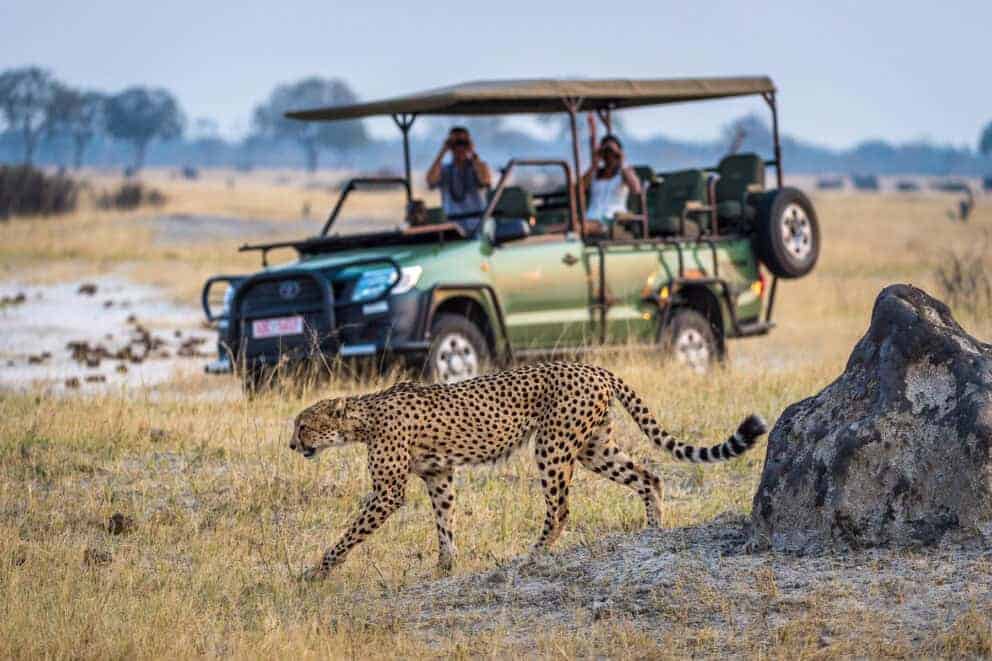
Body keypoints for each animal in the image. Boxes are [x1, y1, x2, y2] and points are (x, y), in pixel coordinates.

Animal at [289, 361, 768, 579]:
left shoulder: (390, 491)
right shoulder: (439, 475)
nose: (293, 445)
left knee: (560, 510)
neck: (363, 417)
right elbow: (445, 522)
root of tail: (594, 367)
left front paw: (318, 571)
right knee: (649, 475)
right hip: (594, 447)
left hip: (552, 446)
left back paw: (533, 554)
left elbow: (351, 532)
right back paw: (652, 531)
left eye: (304, 425)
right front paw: (446, 566)